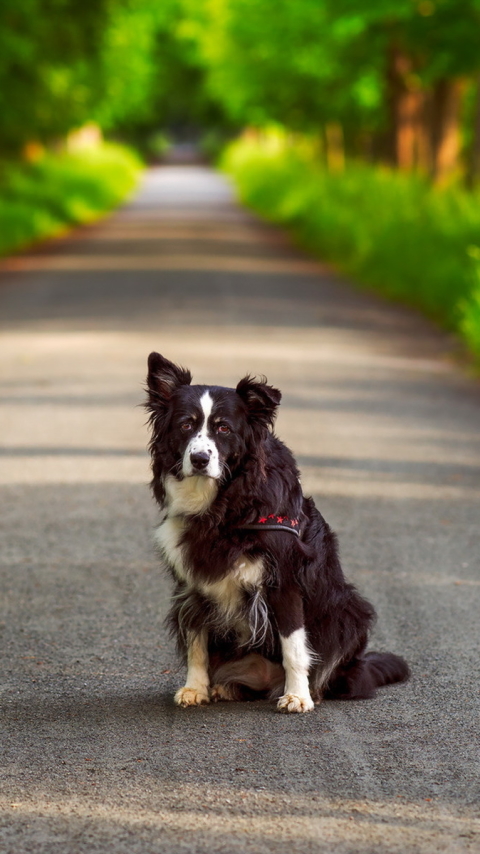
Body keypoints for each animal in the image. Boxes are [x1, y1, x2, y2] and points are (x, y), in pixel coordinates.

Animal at [146, 354, 408, 716]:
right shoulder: (192, 579)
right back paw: (227, 687)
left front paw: (298, 696)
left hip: (349, 611)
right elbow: (196, 640)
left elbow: (293, 646)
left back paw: (309, 690)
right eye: (185, 425)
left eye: (224, 428)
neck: (225, 505)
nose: (199, 459)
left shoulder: (285, 578)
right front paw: (195, 688)